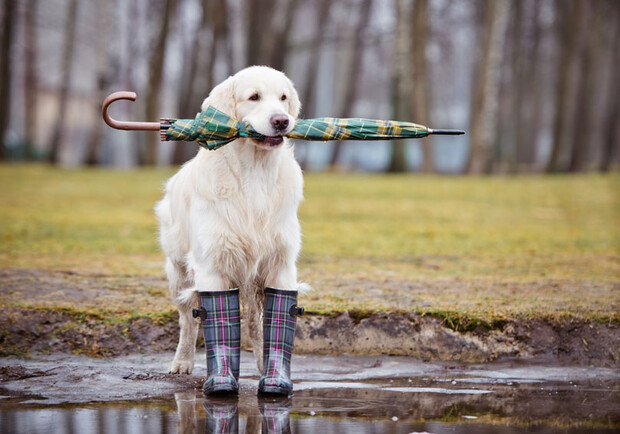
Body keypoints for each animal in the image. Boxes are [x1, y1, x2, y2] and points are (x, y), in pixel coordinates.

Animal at [156, 66, 304, 374]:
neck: (255, 172)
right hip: (178, 271)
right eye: (254, 97)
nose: (282, 121)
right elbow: (211, 320)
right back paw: (182, 361)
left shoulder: (280, 263)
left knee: (254, 324)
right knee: (188, 319)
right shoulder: (212, 265)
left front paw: (273, 373)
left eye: (283, 97)